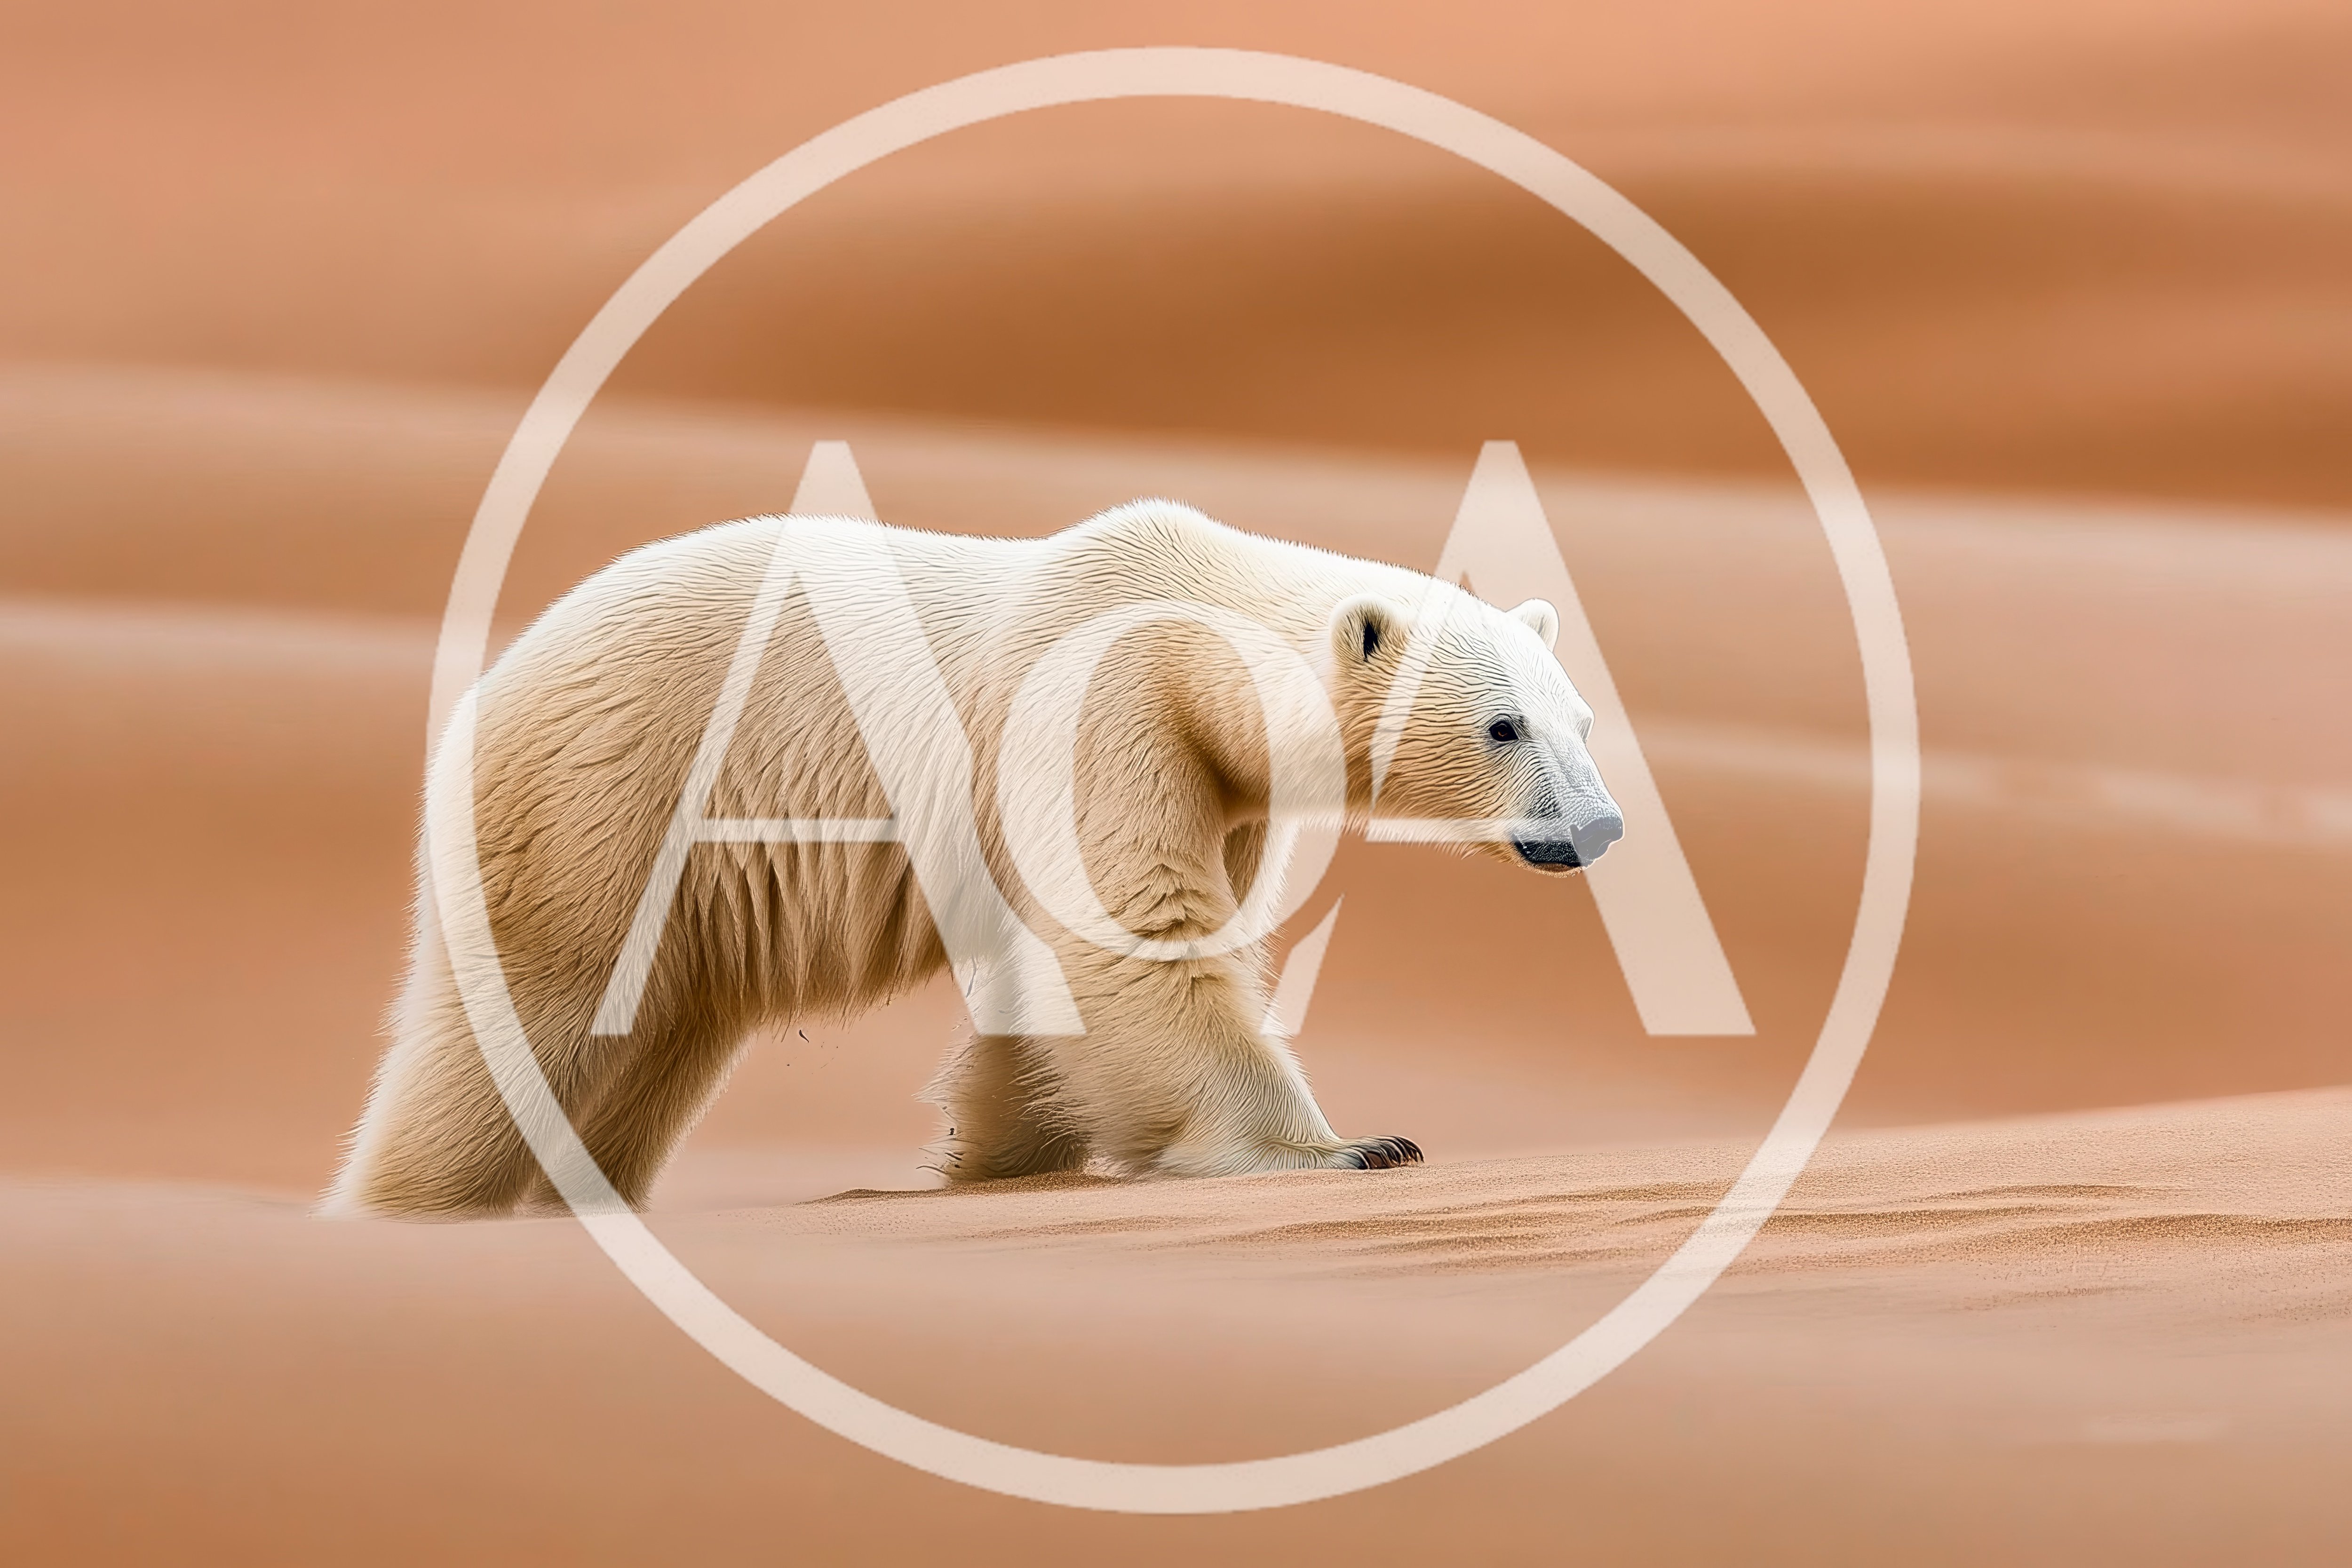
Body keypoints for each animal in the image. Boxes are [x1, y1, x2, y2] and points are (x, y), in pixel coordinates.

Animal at [326, 500, 1623, 1217]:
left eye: (1581, 719)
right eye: (1503, 725)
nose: (1598, 825)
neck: (1182, 610)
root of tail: (499, 677)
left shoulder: (1217, 784)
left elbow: (1051, 970)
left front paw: (996, 1155)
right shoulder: (1104, 702)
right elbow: (1138, 937)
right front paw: (1342, 1146)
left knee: (660, 1034)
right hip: (606, 796)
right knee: (534, 1001)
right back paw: (416, 1204)